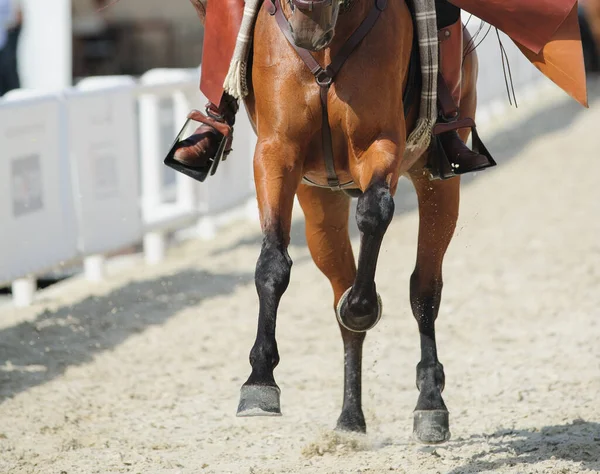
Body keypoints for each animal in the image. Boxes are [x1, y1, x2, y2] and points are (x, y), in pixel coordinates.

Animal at [195, 0, 480, 444]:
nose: (308, 26)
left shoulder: (381, 145)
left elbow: (374, 212)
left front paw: (363, 307)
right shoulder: (277, 153)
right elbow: (272, 262)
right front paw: (260, 380)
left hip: (438, 183)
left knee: (424, 289)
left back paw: (430, 402)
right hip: (320, 205)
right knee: (340, 291)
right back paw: (350, 417)